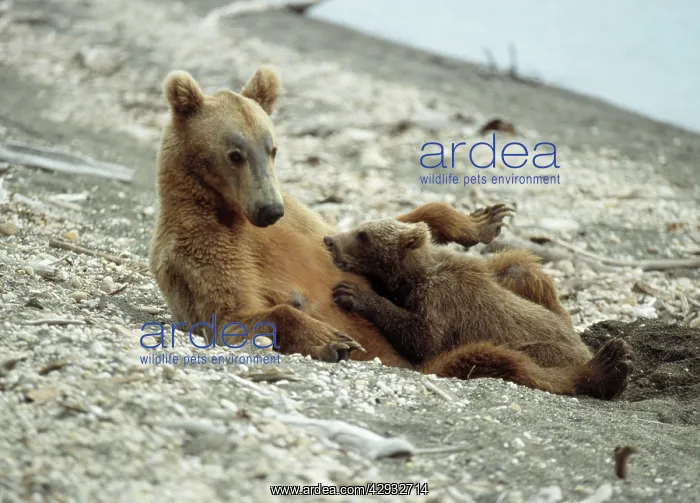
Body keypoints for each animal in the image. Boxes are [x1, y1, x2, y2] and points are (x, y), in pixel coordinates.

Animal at [148, 64, 571, 376]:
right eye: (235, 153)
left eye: (272, 148)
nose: (270, 209)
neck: (231, 210)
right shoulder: (203, 244)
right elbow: (232, 313)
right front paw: (332, 339)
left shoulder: (305, 225)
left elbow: (373, 233)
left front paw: (484, 219)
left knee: (519, 269)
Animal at [323, 219, 632, 399]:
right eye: (361, 226)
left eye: (363, 234)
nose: (330, 240)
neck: (416, 277)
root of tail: (583, 347)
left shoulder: (445, 300)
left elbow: (424, 338)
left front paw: (353, 294)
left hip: (547, 348)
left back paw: (611, 364)